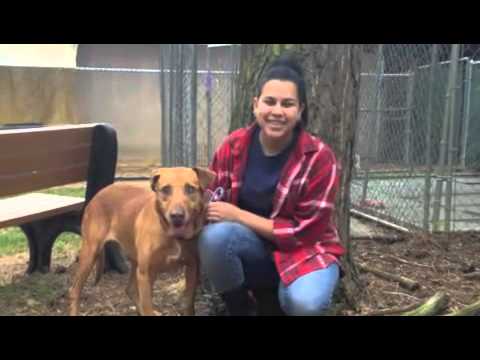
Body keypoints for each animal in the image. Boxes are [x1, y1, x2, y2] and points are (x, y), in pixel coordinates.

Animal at [68, 166, 216, 316]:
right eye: (165, 189)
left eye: (190, 189)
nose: (177, 215)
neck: (171, 235)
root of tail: (100, 193)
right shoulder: (146, 273)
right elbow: (147, 305)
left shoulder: (192, 268)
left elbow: (188, 304)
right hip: (90, 253)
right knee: (74, 290)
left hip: (135, 260)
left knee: (130, 290)